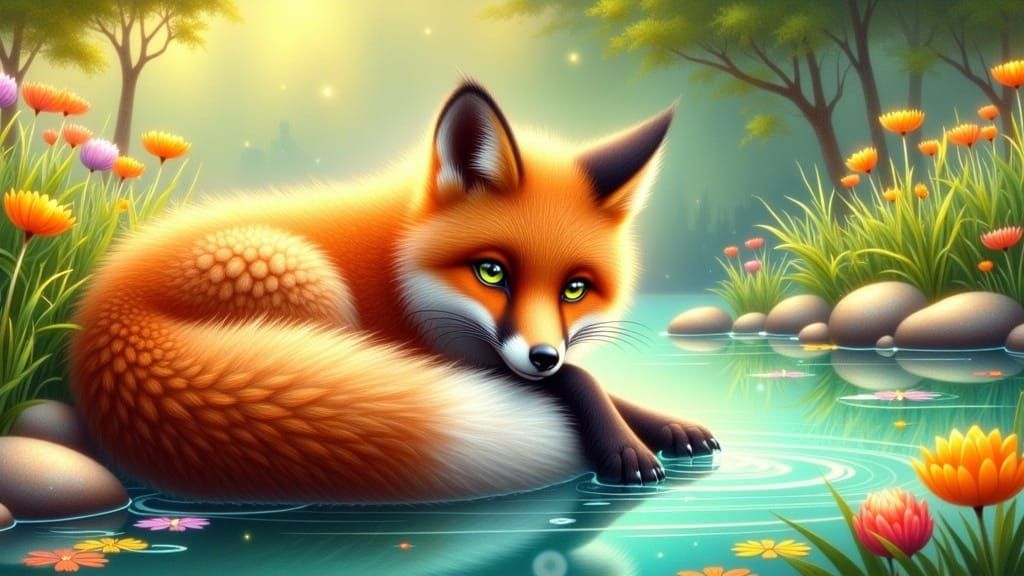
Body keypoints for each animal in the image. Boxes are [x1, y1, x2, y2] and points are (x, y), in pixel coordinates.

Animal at [69, 80, 718, 503]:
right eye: (492, 273)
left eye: (576, 289)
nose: (542, 355)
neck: (398, 267)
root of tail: (103, 310)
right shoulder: (445, 352)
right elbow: (582, 379)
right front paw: (627, 447)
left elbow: (597, 381)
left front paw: (672, 428)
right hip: (303, 278)